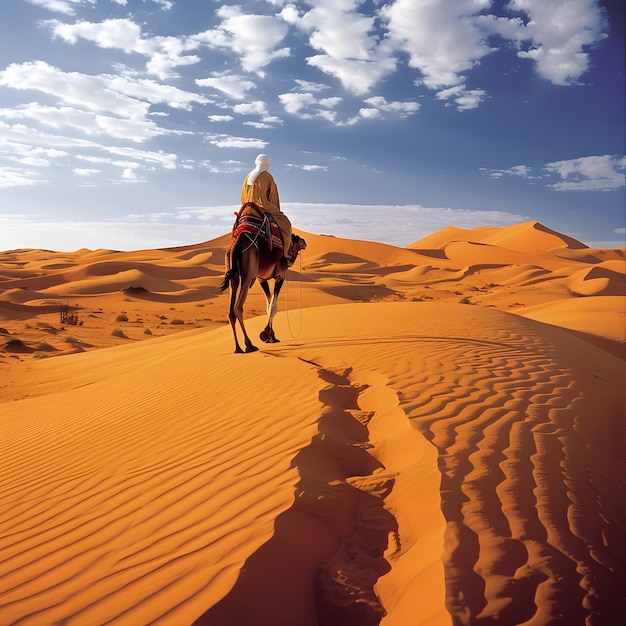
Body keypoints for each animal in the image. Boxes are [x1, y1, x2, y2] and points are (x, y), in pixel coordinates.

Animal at [219, 204, 308, 352]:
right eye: (297, 238)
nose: (304, 241)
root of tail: (236, 245)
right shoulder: (280, 276)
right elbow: (273, 306)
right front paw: (267, 334)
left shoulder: (262, 279)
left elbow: (268, 304)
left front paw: (271, 336)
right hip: (247, 275)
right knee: (238, 307)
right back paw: (249, 345)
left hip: (233, 273)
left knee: (231, 310)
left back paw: (238, 348)